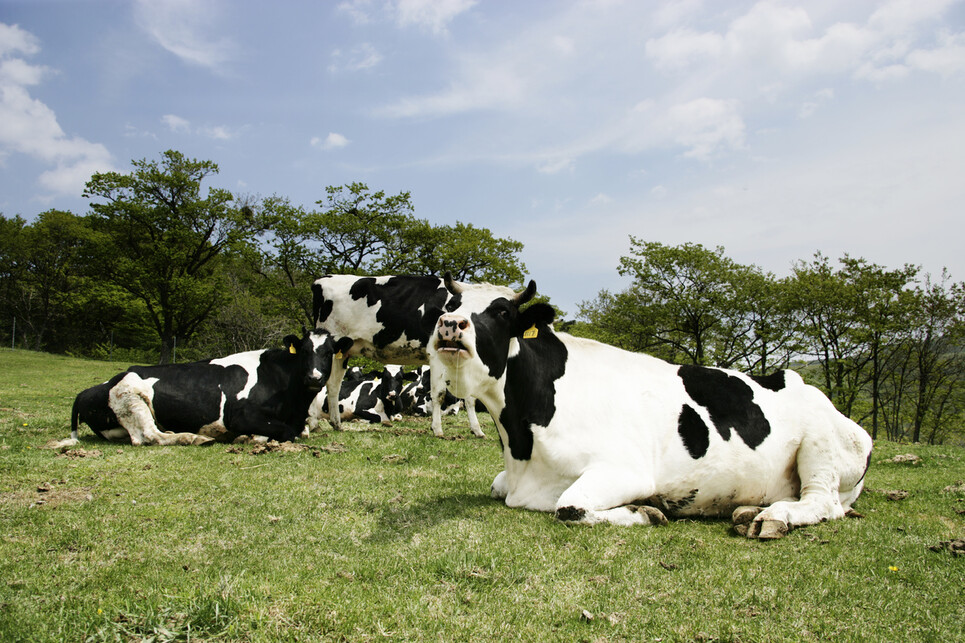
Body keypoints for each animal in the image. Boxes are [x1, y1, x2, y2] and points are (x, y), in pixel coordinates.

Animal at [57, 332, 350, 448]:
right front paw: (249, 438)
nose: (314, 377)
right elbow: (286, 432)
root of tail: (102, 384)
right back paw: (193, 437)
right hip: (130, 399)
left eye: (328, 353)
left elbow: (301, 430)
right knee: (150, 436)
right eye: (304, 351)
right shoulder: (239, 416)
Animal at [314, 274, 486, 440]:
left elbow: (469, 396)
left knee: (334, 385)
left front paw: (476, 430)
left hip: (342, 353)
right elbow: (439, 393)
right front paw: (437, 430)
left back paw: (336, 423)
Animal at [430, 272, 872, 540]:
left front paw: (646, 511)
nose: (451, 325)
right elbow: (500, 487)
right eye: (451, 305)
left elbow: (568, 507)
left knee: (821, 502)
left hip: (820, 448)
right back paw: (750, 510)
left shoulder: (625, 470)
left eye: (501, 311)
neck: (521, 445)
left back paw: (773, 517)